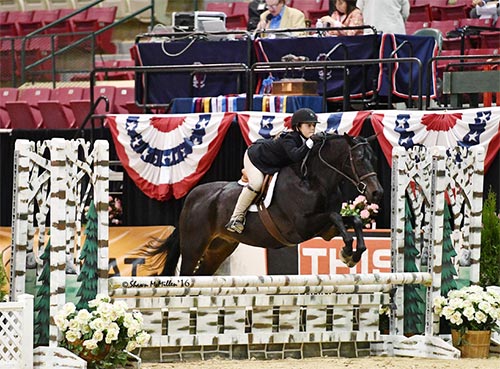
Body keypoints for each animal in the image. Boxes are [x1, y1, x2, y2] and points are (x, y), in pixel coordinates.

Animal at [147, 133, 382, 276]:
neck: (315, 180)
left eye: (374, 158)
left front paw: (353, 254)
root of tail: (191, 197)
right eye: (359, 159)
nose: (377, 192)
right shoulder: (301, 227)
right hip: (193, 247)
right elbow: (335, 216)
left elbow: (353, 219)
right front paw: (347, 251)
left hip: (220, 248)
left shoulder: (325, 230)